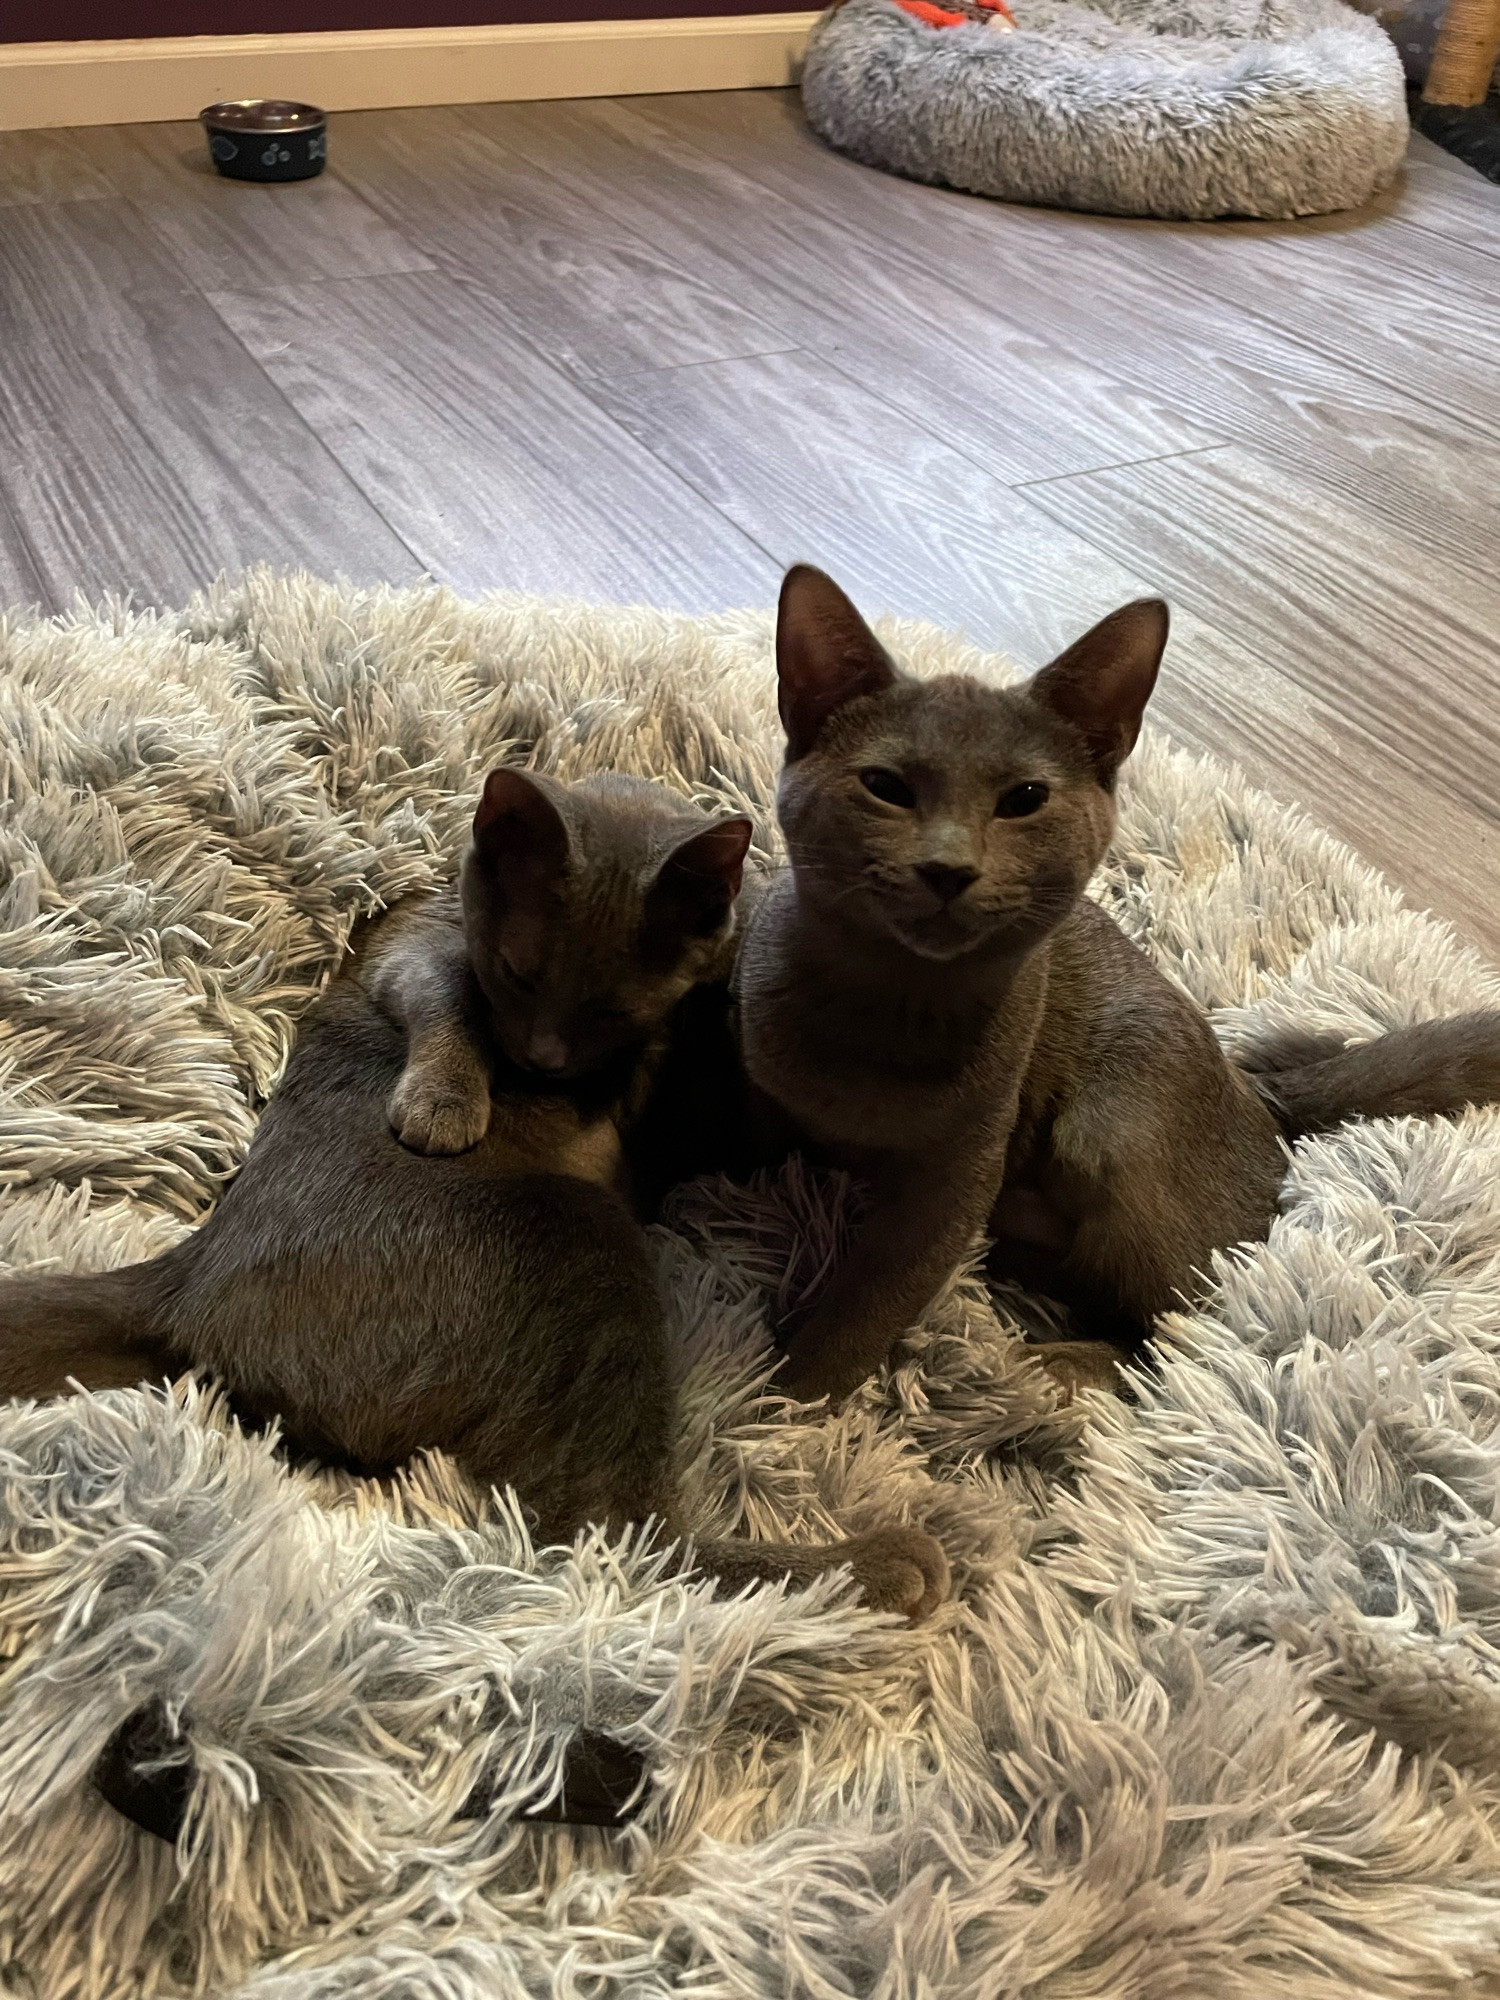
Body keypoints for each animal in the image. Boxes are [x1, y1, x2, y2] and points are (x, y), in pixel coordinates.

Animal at [0, 764, 952, 1624]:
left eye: (612, 1009)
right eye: (520, 976)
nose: (545, 1059)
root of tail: (185, 1279)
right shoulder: (423, 950)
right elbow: (449, 995)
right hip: (578, 1240)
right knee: (612, 1535)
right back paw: (875, 1571)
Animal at [736, 564, 1500, 1408]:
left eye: (1024, 800)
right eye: (885, 786)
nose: (948, 867)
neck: (888, 1007)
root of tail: (1256, 1092)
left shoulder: (961, 1171)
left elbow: (875, 1294)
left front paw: (783, 1407)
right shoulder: (759, 1075)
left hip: (1113, 1120)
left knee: (1185, 1340)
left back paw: (1039, 1370)